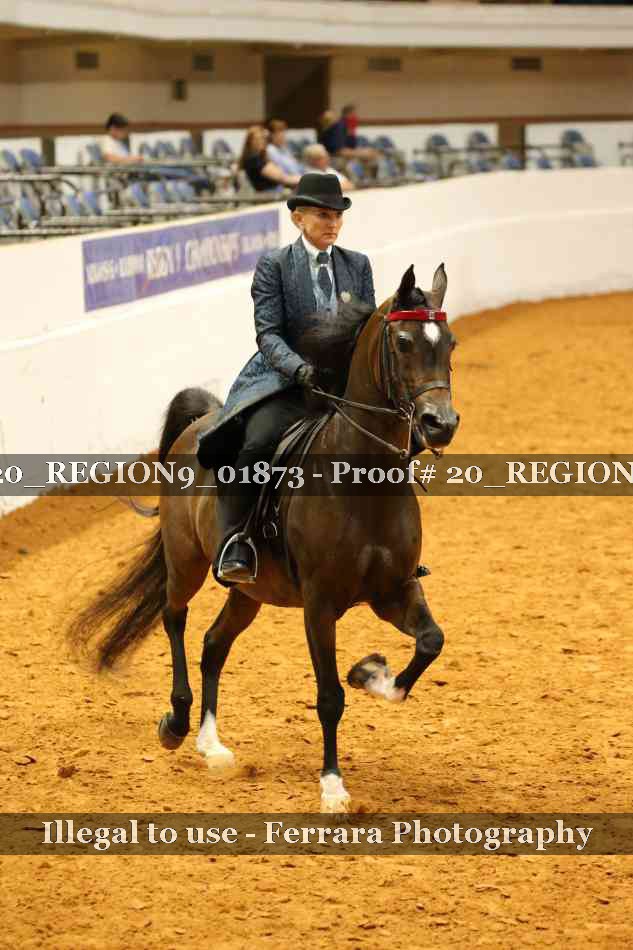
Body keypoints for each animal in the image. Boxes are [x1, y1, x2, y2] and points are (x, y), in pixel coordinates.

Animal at [69, 262, 459, 812]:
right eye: (403, 342)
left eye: (450, 344)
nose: (440, 424)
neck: (363, 482)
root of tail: (200, 423)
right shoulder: (320, 603)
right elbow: (329, 697)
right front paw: (333, 786)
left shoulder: (394, 589)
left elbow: (430, 642)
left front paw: (371, 673)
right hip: (186, 562)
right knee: (174, 617)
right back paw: (176, 722)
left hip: (250, 591)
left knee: (214, 643)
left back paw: (211, 745)